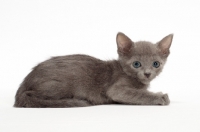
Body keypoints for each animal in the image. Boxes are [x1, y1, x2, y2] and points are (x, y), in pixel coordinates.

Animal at [14, 32, 173, 108]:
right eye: (136, 64)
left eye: (156, 64)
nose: (147, 73)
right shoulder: (116, 89)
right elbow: (137, 94)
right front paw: (160, 97)